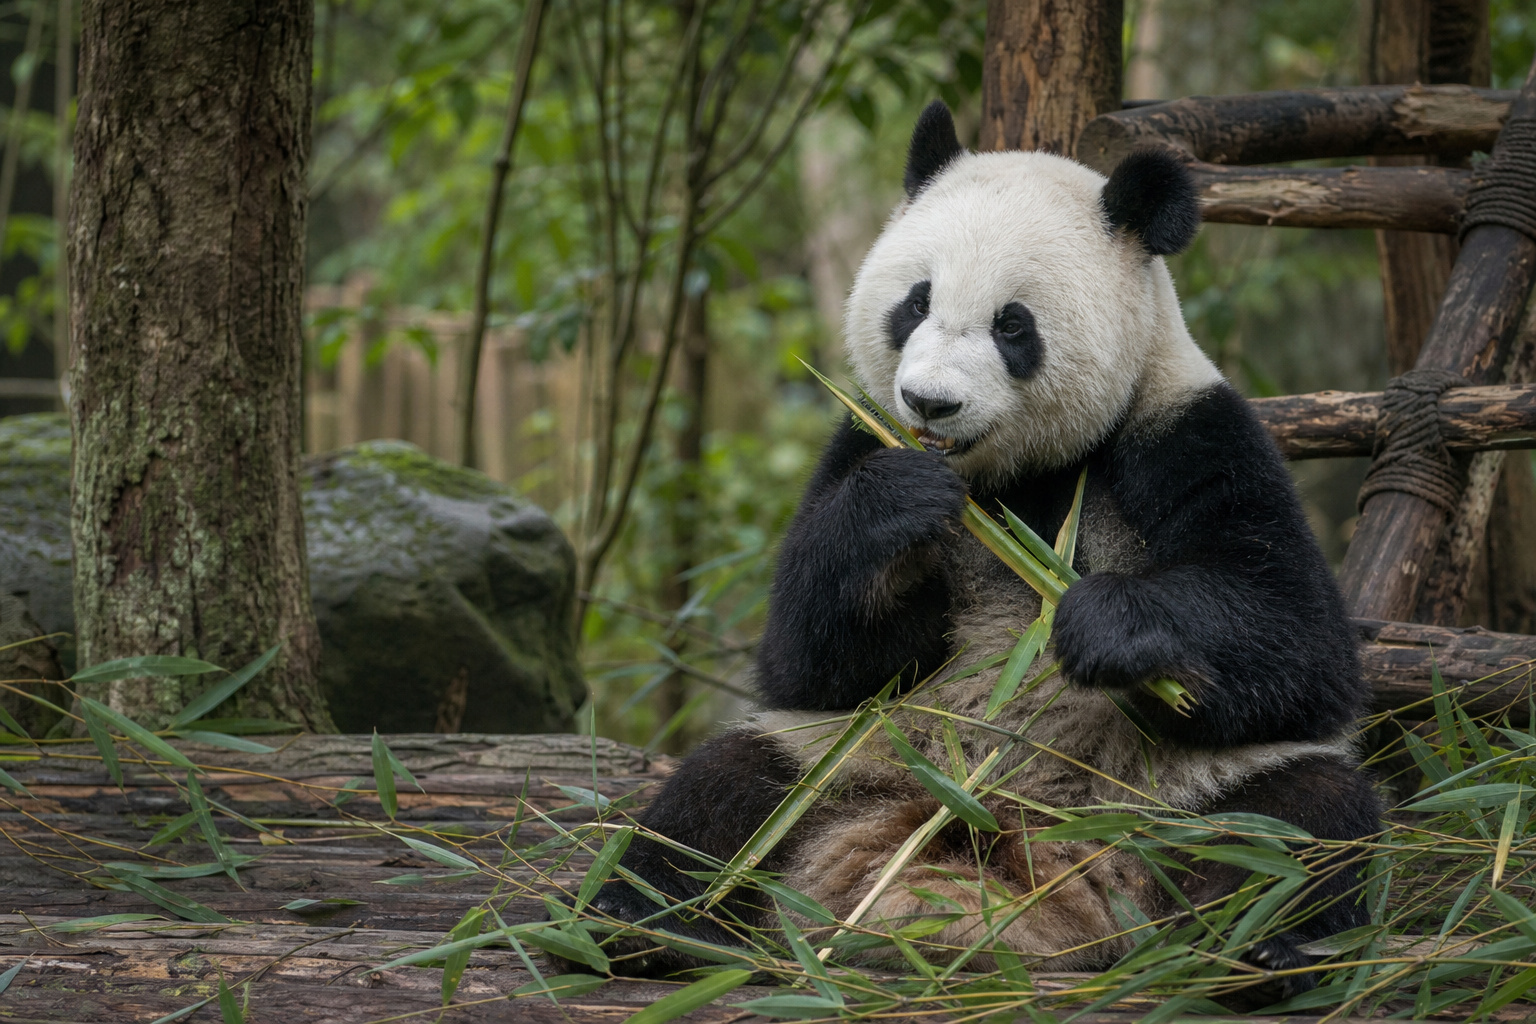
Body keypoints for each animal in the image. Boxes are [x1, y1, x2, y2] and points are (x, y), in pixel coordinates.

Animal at [564, 102, 1380, 999]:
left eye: (1012, 324)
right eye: (915, 303)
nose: (930, 402)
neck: (1010, 481)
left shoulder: (1186, 433)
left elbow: (1299, 641)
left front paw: (1103, 625)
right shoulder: (860, 439)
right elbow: (808, 660)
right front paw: (899, 508)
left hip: (1177, 799)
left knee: (1300, 821)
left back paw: (1262, 954)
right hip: (843, 765)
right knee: (721, 794)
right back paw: (637, 923)